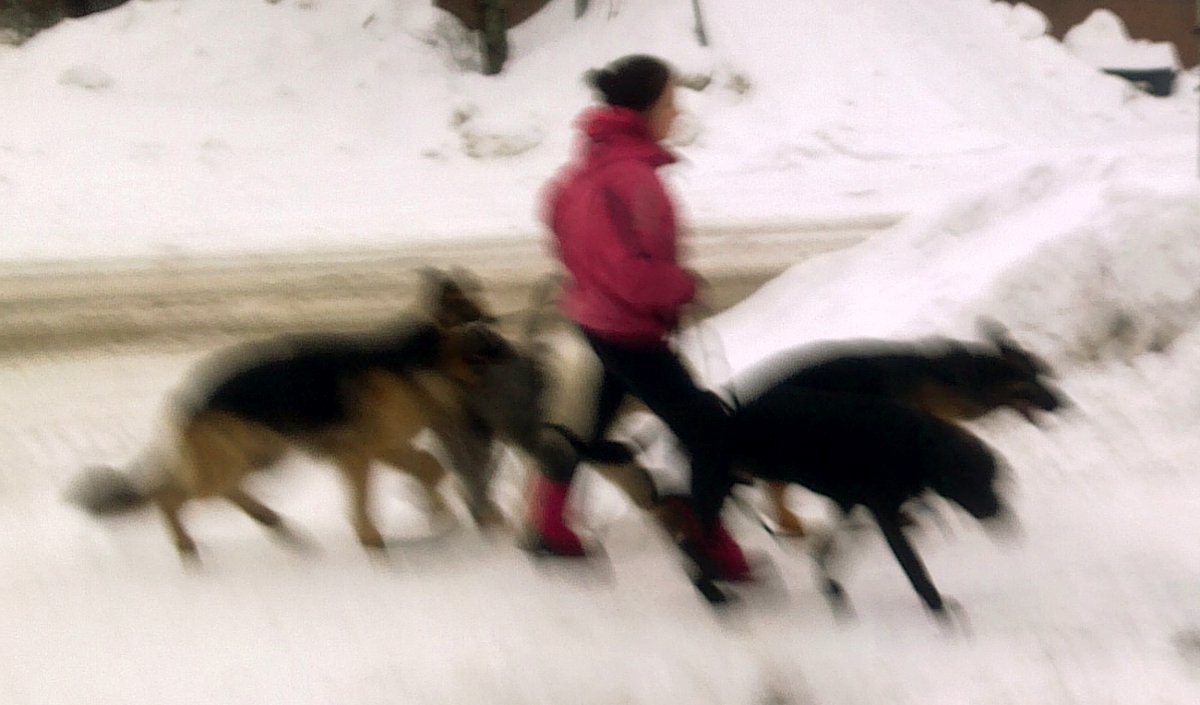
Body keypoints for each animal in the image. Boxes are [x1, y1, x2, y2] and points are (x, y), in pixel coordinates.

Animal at [66, 269, 543, 560]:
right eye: (486, 332)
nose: (523, 355)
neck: (417, 359)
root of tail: (190, 398)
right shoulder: (360, 454)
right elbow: (373, 496)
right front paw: (375, 540)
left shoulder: (383, 448)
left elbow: (430, 467)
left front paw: (436, 512)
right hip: (235, 460)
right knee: (170, 495)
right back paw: (188, 547)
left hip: (263, 455)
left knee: (222, 491)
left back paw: (276, 524)